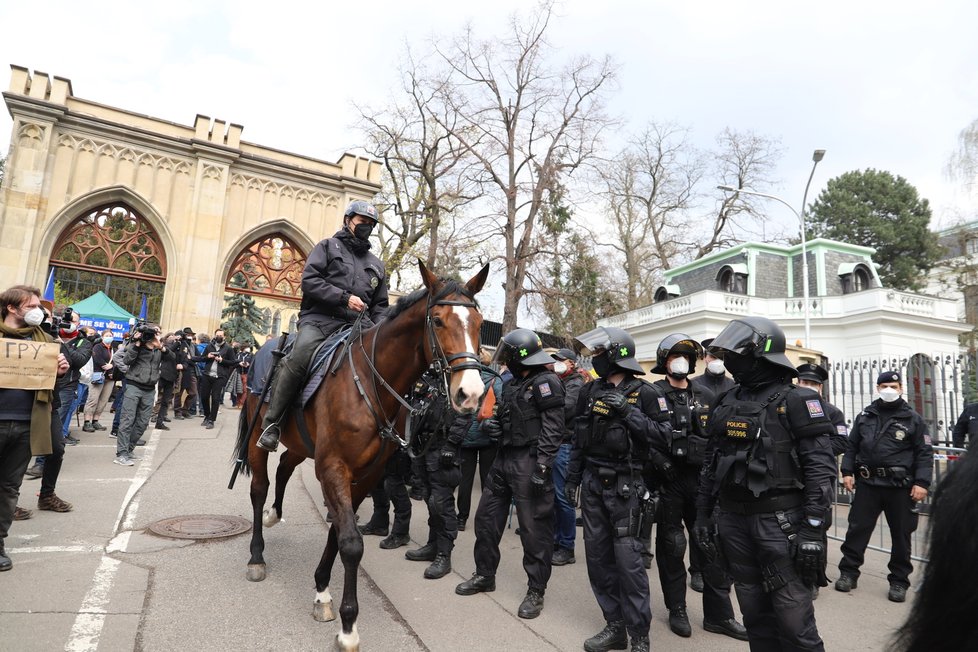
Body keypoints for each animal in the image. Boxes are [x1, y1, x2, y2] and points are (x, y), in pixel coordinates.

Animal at [230, 262, 488, 652]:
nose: (470, 394)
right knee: (259, 489)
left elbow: (339, 530)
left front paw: (322, 589)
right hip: (259, 440)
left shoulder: (366, 474)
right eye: (439, 321)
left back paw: (276, 513)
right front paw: (348, 625)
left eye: (478, 322)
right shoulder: (333, 467)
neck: (370, 383)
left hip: (302, 446)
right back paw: (257, 555)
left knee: (286, 468)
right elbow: (350, 542)